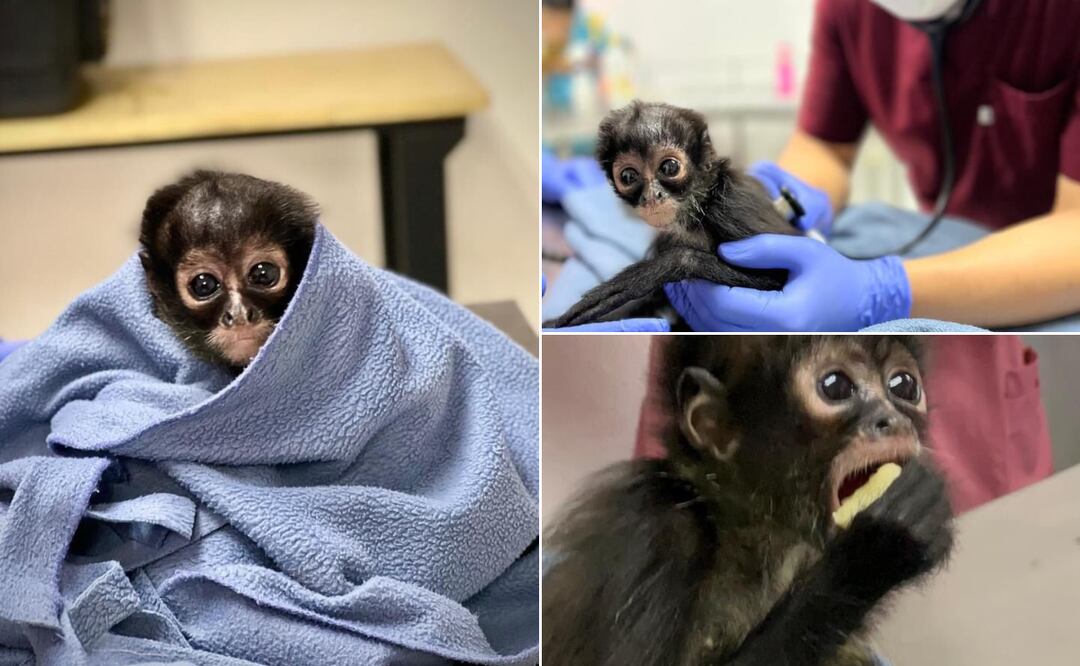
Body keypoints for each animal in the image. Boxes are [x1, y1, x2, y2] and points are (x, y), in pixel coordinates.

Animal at [545, 101, 801, 328]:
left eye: (669, 168)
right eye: (628, 176)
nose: (651, 196)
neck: (699, 205)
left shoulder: (732, 208)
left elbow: (778, 280)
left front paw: (646, 275)